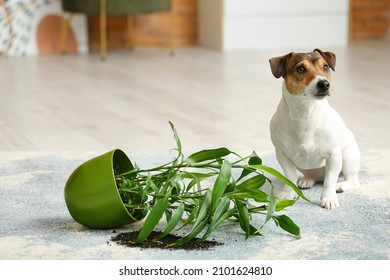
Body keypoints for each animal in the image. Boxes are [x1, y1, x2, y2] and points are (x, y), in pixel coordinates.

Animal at [268, 48, 360, 210]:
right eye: (301, 69)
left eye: (325, 67)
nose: (324, 84)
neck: (306, 113)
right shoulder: (282, 154)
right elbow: (290, 177)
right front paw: (288, 194)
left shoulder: (334, 155)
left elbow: (329, 181)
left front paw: (329, 199)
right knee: (315, 176)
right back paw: (307, 180)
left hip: (347, 157)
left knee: (351, 179)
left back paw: (341, 186)